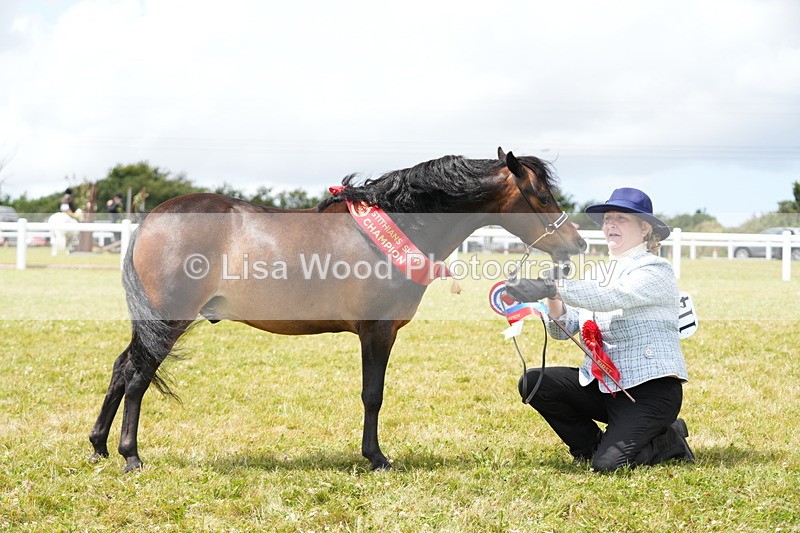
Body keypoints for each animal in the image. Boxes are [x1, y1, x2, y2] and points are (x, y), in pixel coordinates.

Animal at [88, 149, 587, 472]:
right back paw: (131, 455)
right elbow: (373, 394)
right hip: (166, 320)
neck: (400, 227)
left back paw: (98, 446)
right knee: (138, 376)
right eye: (542, 198)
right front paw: (377, 458)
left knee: (121, 368)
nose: (577, 245)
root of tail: (152, 219)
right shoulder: (377, 331)